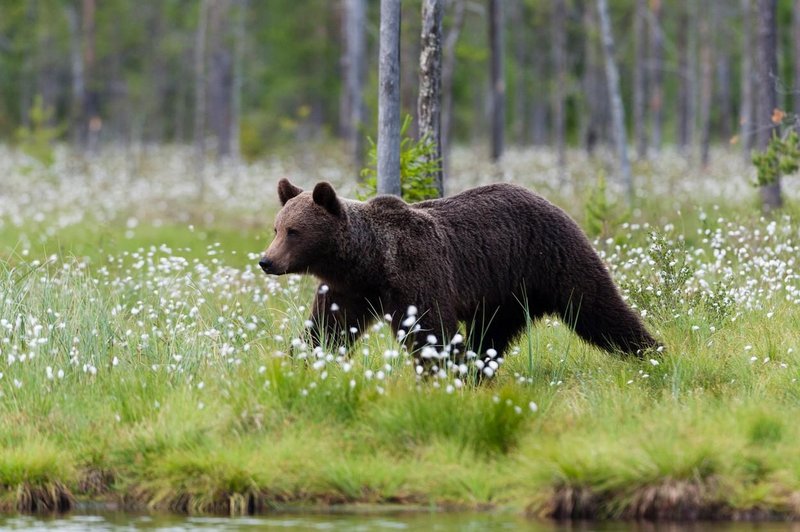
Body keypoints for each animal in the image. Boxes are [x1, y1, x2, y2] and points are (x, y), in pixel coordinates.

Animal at [260, 179, 656, 374]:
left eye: (294, 231)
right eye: (276, 228)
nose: (267, 260)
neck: (369, 262)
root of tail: (551, 203)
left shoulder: (415, 273)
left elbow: (429, 330)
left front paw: (447, 372)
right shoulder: (348, 290)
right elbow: (328, 328)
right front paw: (301, 363)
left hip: (551, 260)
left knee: (596, 305)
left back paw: (650, 351)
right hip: (504, 293)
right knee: (492, 332)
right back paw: (481, 367)